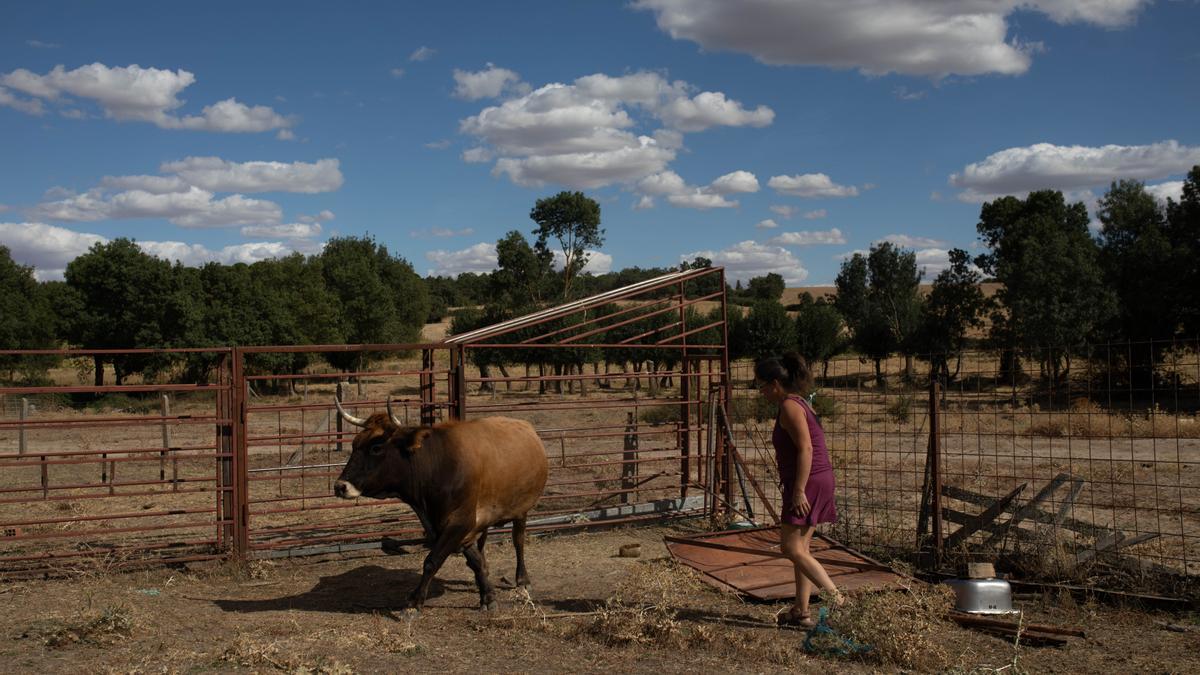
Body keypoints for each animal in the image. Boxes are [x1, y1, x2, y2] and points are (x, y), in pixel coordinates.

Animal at [333, 393, 549, 610]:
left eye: (376, 447)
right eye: (354, 444)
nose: (340, 486)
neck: (438, 465)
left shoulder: (461, 522)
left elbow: (432, 561)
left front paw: (415, 602)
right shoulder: (453, 525)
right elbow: (474, 560)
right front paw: (487, 594)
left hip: (521, 510)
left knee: (518, 541)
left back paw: (522, 580)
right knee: (483, 544)